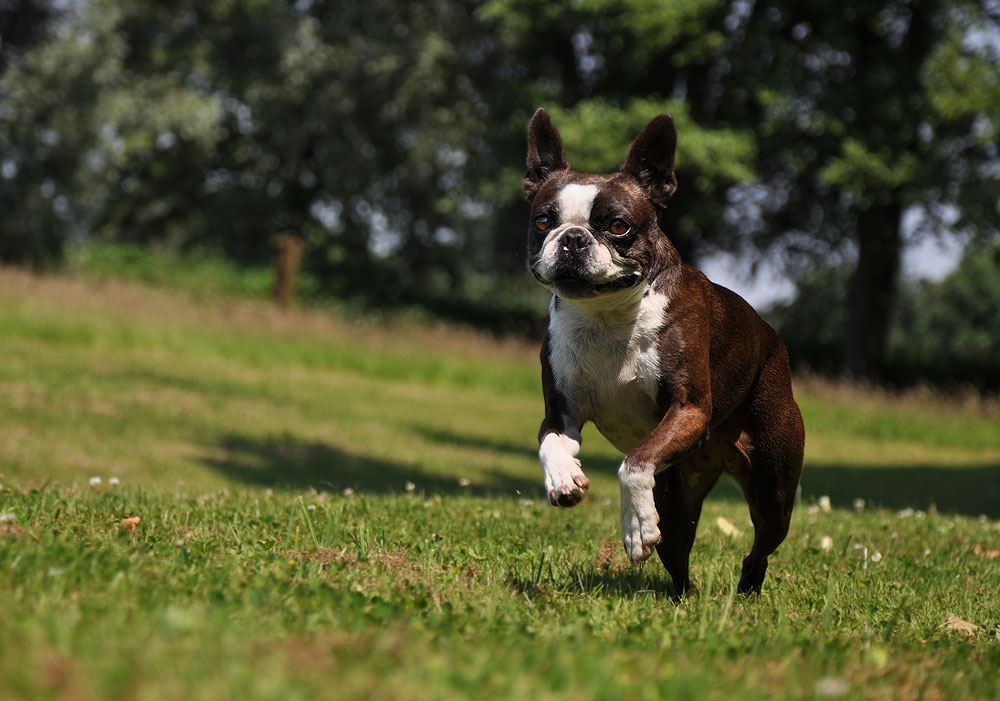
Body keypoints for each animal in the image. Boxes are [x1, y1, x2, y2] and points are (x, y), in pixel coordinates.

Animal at [524, 108, 804, 592]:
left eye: (618, 226)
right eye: (543, 221)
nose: (573, 238)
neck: (606, 316)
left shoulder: (688, 410)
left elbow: (634, 462)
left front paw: (635, 528)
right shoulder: (561, 412)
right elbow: (551, 443)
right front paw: (563, 479)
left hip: (774, 487)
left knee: (760, 547)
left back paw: (746, 589)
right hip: (680, 495)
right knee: (677, 550)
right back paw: (684, 597)